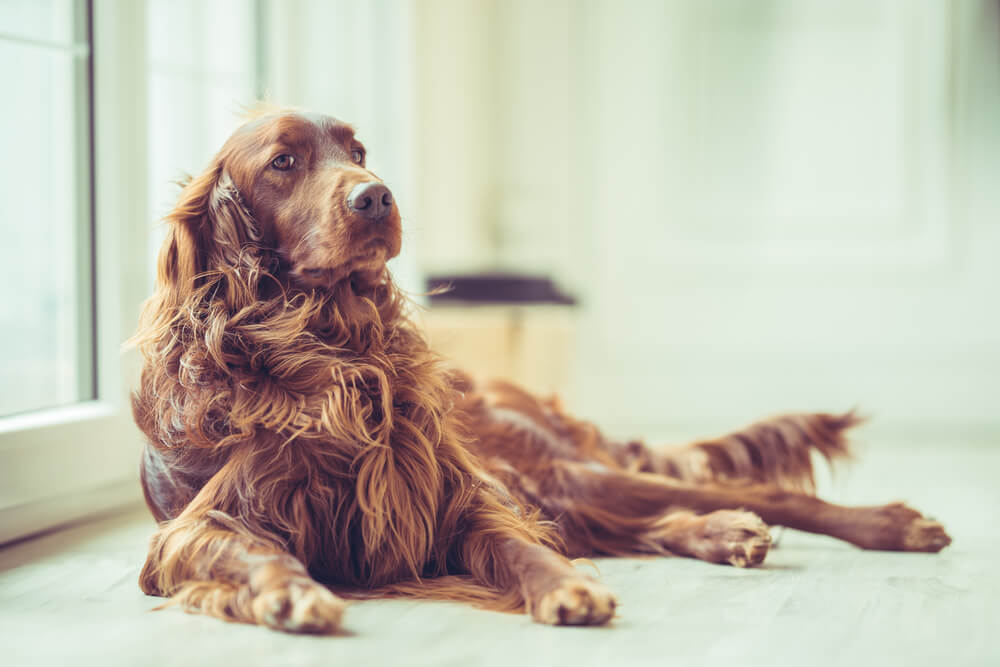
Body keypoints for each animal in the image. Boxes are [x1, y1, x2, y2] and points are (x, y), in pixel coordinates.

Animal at [133, 111, 952, 636]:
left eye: (358, 148)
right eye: (283, 161)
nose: (376, 195)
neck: (332, 352)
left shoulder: (456, 497)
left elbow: (519, 545)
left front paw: (569, 586)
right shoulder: (198, 525)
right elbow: (252, 547)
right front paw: (289, 592)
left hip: (557, 470)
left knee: (753, 493)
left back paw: (889, 524)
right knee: (645, 521)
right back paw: (722, 533)